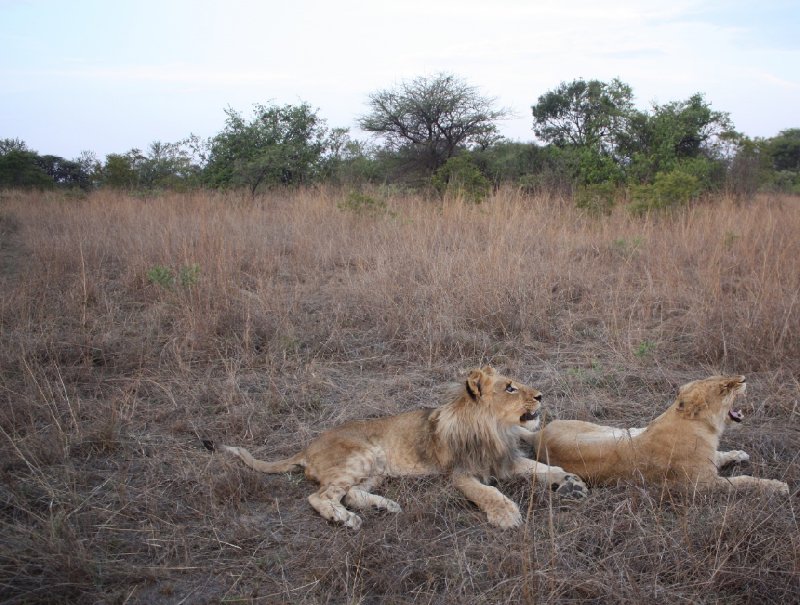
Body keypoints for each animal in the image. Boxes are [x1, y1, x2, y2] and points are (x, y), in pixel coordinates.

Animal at [225, 364, 588, 528]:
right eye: (510, 388)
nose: (540, 396)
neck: (497, 430)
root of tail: (308, 446)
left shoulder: (504, 460)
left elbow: (540, 467)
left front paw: (570, 483)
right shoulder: (460, 473)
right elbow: (487, 492)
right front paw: (506, 514)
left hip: (375, 467)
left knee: (350, 492)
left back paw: (384, 506)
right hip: (361, 455)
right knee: (320, 496)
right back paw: (346, 518)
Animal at [520, 372, 792, 496]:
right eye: (725, 387)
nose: (744, 379)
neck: (704, 427)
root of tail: (539, 435)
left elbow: (721, 455)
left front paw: (739, 454)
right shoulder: (704, 484)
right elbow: (745, 481)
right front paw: (777, 485)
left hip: (614, 430)